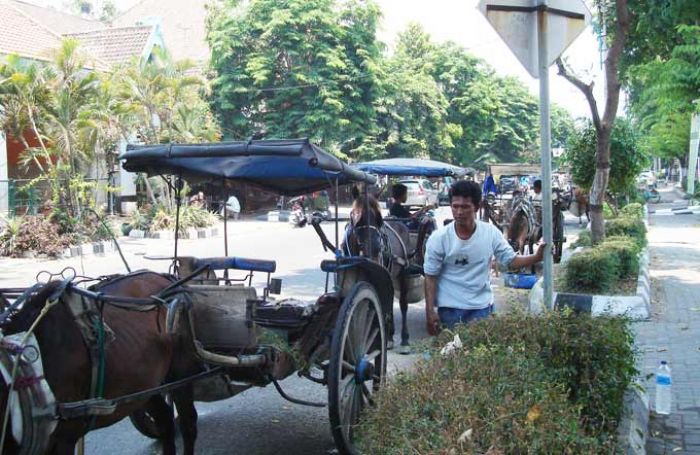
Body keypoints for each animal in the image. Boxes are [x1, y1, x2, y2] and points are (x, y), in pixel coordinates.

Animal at [0, 272, 202, 455]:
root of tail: (164, 277)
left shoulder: (63, 439)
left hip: (180, 373)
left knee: (188, 423)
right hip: (145, 386)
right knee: (165, 421)